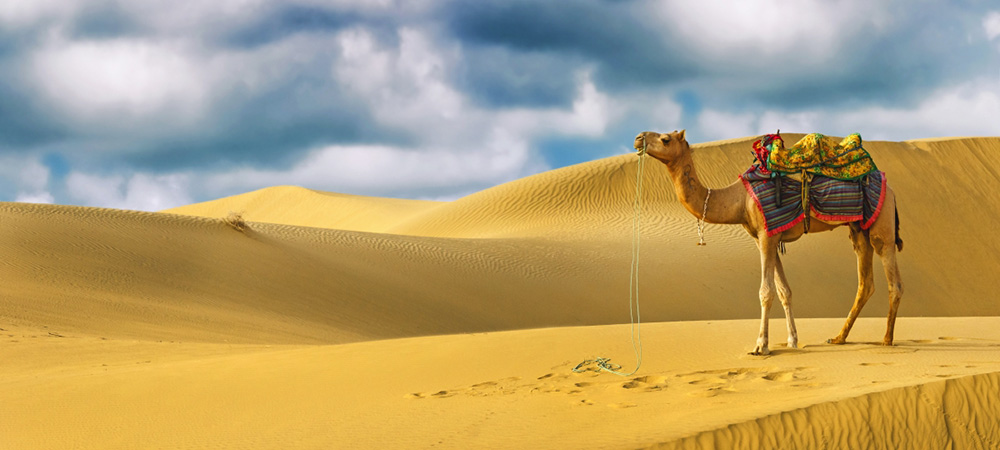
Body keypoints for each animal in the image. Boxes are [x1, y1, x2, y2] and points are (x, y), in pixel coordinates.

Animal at [636, 129, 904, 356]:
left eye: (665, 139)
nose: (639, 138)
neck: (738, 199)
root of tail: (889, 186)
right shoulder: (767, 237)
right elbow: (785, 291)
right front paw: (792, 340)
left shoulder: (767, 234)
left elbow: (766, 291)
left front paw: (760, 346)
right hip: (859, 229)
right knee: (865, 283)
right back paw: (838, 338)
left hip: (881, 223)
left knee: (893, 280)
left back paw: (887, 339)